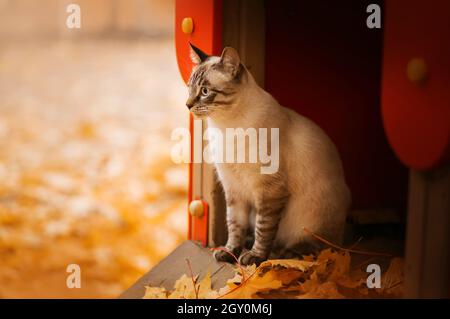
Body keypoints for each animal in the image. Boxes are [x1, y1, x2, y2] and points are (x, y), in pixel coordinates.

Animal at [186, 43, 352, 266]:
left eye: (204, 91)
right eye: (189, 87)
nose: (188, 105)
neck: (225, 126)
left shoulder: (269, 191)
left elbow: (263, 229)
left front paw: (254, 258)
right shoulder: (233, 188)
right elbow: (234, 226)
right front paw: (229, 253)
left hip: (313, 217)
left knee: (321, 246)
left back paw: (286, 253)